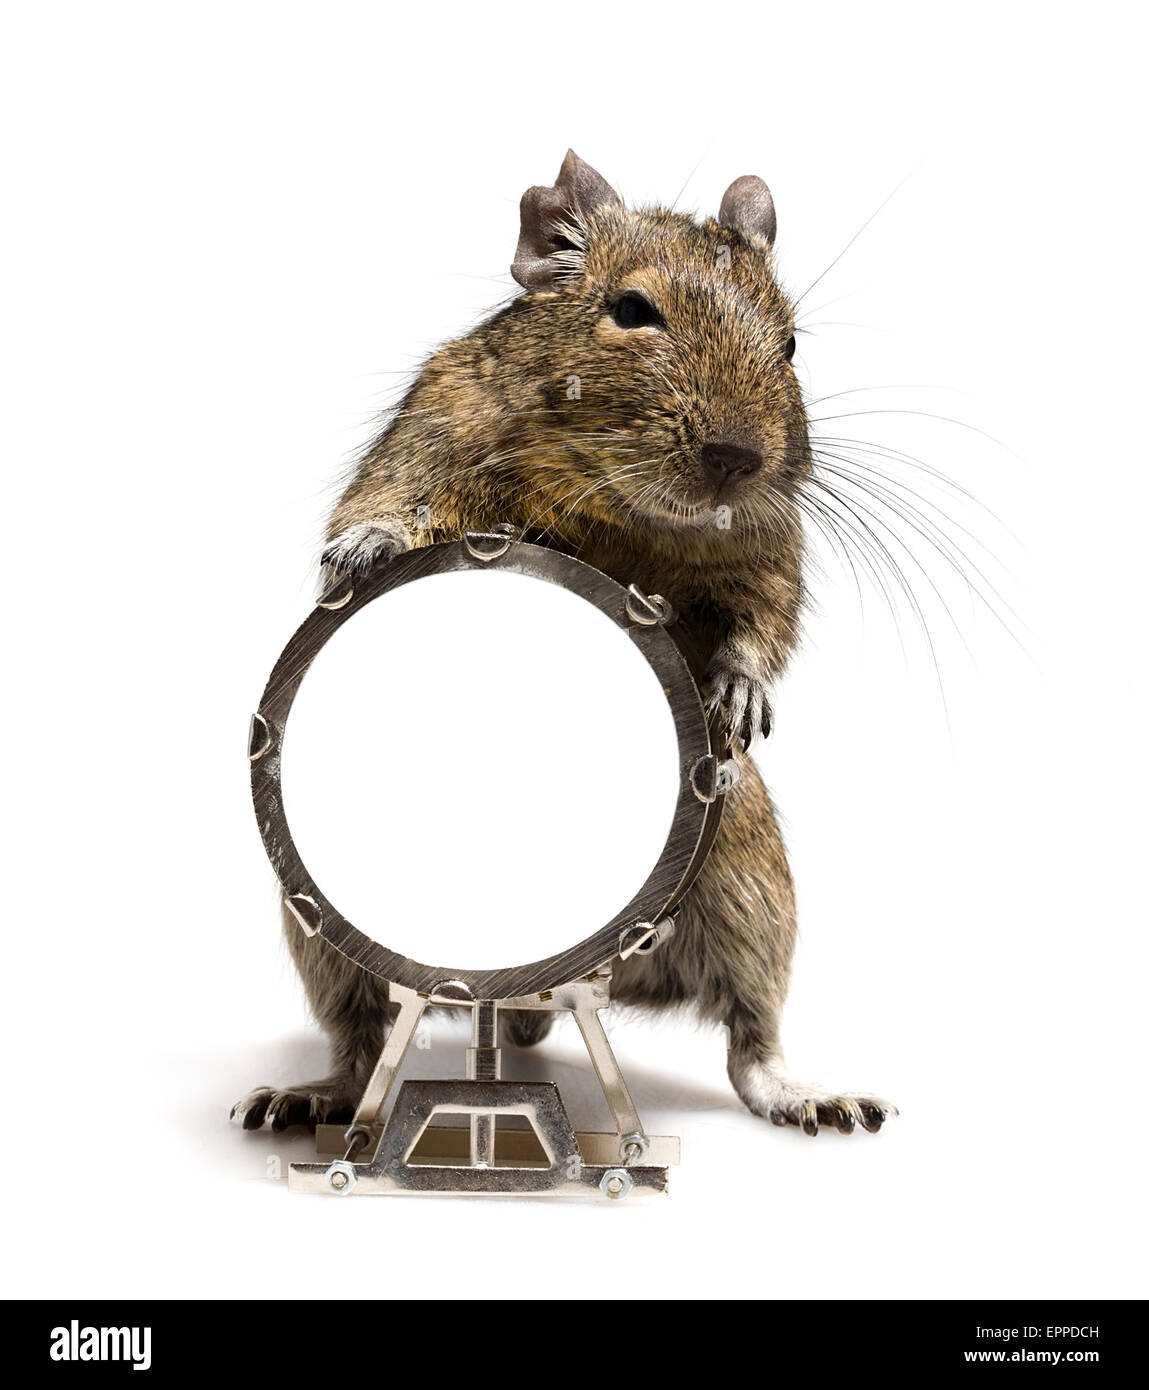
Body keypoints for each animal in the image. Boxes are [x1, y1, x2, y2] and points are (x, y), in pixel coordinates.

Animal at [234, 151, 895, 1138]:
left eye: (788, 345)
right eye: (632, 310)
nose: (737, 457)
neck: (618, 499)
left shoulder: (768, 534)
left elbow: (764, 614)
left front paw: (739, 690)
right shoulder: (436, 422)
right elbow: (381, 499)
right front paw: (363, 550)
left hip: (751, 882)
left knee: (752, 1039)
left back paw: (806, 1094)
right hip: (313, 926)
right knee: (358, 1039)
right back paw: (312, 1094)